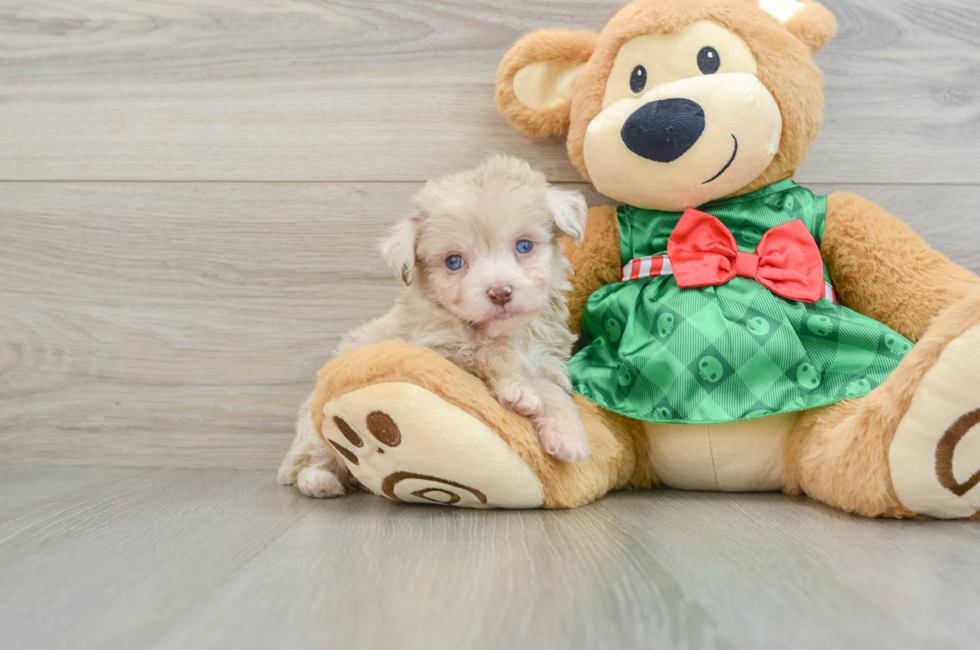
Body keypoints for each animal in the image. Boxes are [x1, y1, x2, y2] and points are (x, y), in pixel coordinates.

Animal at [280, 153, 592, 496]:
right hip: (314, 426)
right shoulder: (437, 351)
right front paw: (518, 390)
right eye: (453, 261)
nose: (500, 292)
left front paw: (568, 435)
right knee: (308, 460)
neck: (502, 333)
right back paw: (320, 481)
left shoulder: (546, 360)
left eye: (524, 246)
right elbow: (487, 356)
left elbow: (553, 391)